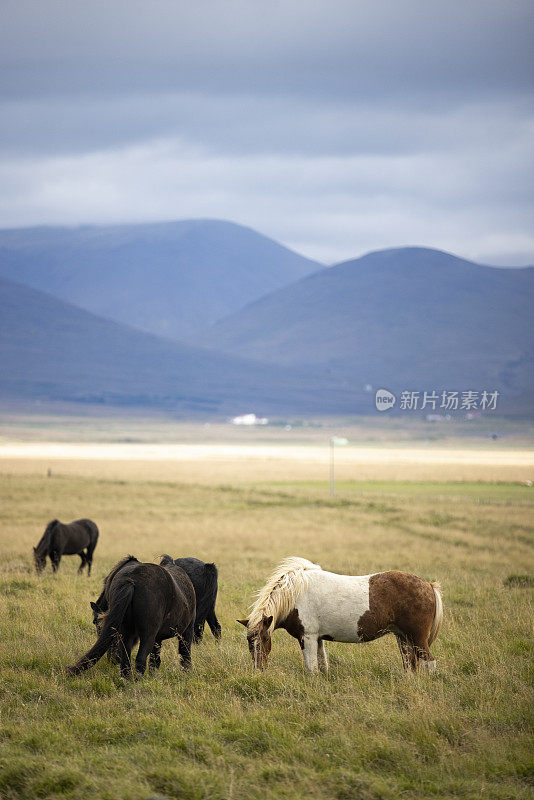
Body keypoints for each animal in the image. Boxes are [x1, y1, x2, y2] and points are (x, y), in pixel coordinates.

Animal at [68, 552, 196, 680]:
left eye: (95, 622)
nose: (113, 659)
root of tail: (131, 580)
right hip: (150, 635)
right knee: (142, 659)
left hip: (129, 634)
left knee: (127, 660)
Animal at [239, 556, 444, 676]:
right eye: (249, 641)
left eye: (265, 639)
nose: (259, 668)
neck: (295, 594)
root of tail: (428, 585)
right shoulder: (318, 638)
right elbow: (321, 664)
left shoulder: (308, 637)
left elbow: (311, 667)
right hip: (403, 637)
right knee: (410, 663)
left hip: (417, 638)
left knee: (429, 663)